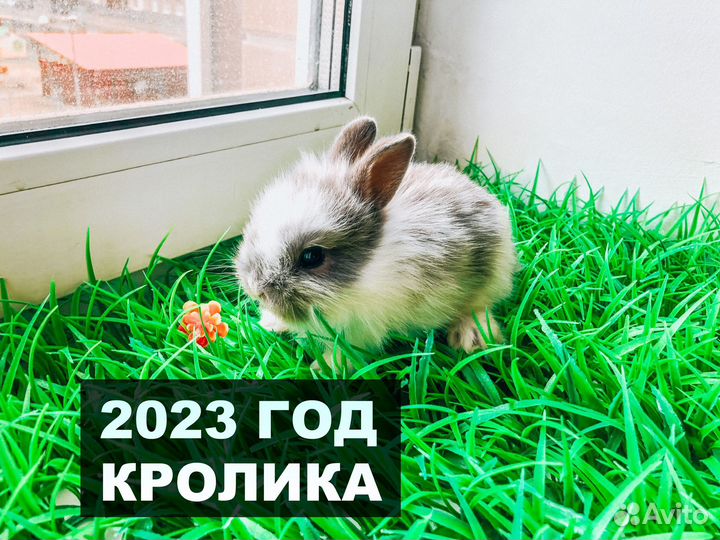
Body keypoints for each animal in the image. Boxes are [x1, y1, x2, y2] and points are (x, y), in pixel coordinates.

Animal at [235, 116, 517, 370]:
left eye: (311, 257)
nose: (255, 288)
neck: (365, 271)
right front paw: (270, 324)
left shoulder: (361, 330)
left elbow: (345, 353)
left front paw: (321, 369)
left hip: (491, 275)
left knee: (480, 306)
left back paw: (472, 338)